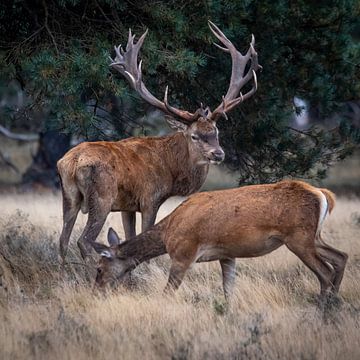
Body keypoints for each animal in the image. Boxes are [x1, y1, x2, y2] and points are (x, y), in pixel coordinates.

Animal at [56, 21, 260, 262]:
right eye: (194, 136)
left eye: (216, 132)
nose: (218, 154)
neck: (170, 170)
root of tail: (71, 163)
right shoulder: (150, 198)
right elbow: (144, 236)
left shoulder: (127, 206)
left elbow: (130, 237)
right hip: (102, 196)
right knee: (83, 240)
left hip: (69, 196)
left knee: (63, 239)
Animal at [94, 181, 348, 302]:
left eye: (99, 268)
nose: (98, 290)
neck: (168, 233)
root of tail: (323, 195)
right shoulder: (227, 255)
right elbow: (228, 290)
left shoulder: (184, 253)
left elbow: (168, 291)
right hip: (314, 237)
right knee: (341, 257)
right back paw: (335, 302)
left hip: (298, 237)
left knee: (325, 271)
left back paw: (323, 307)